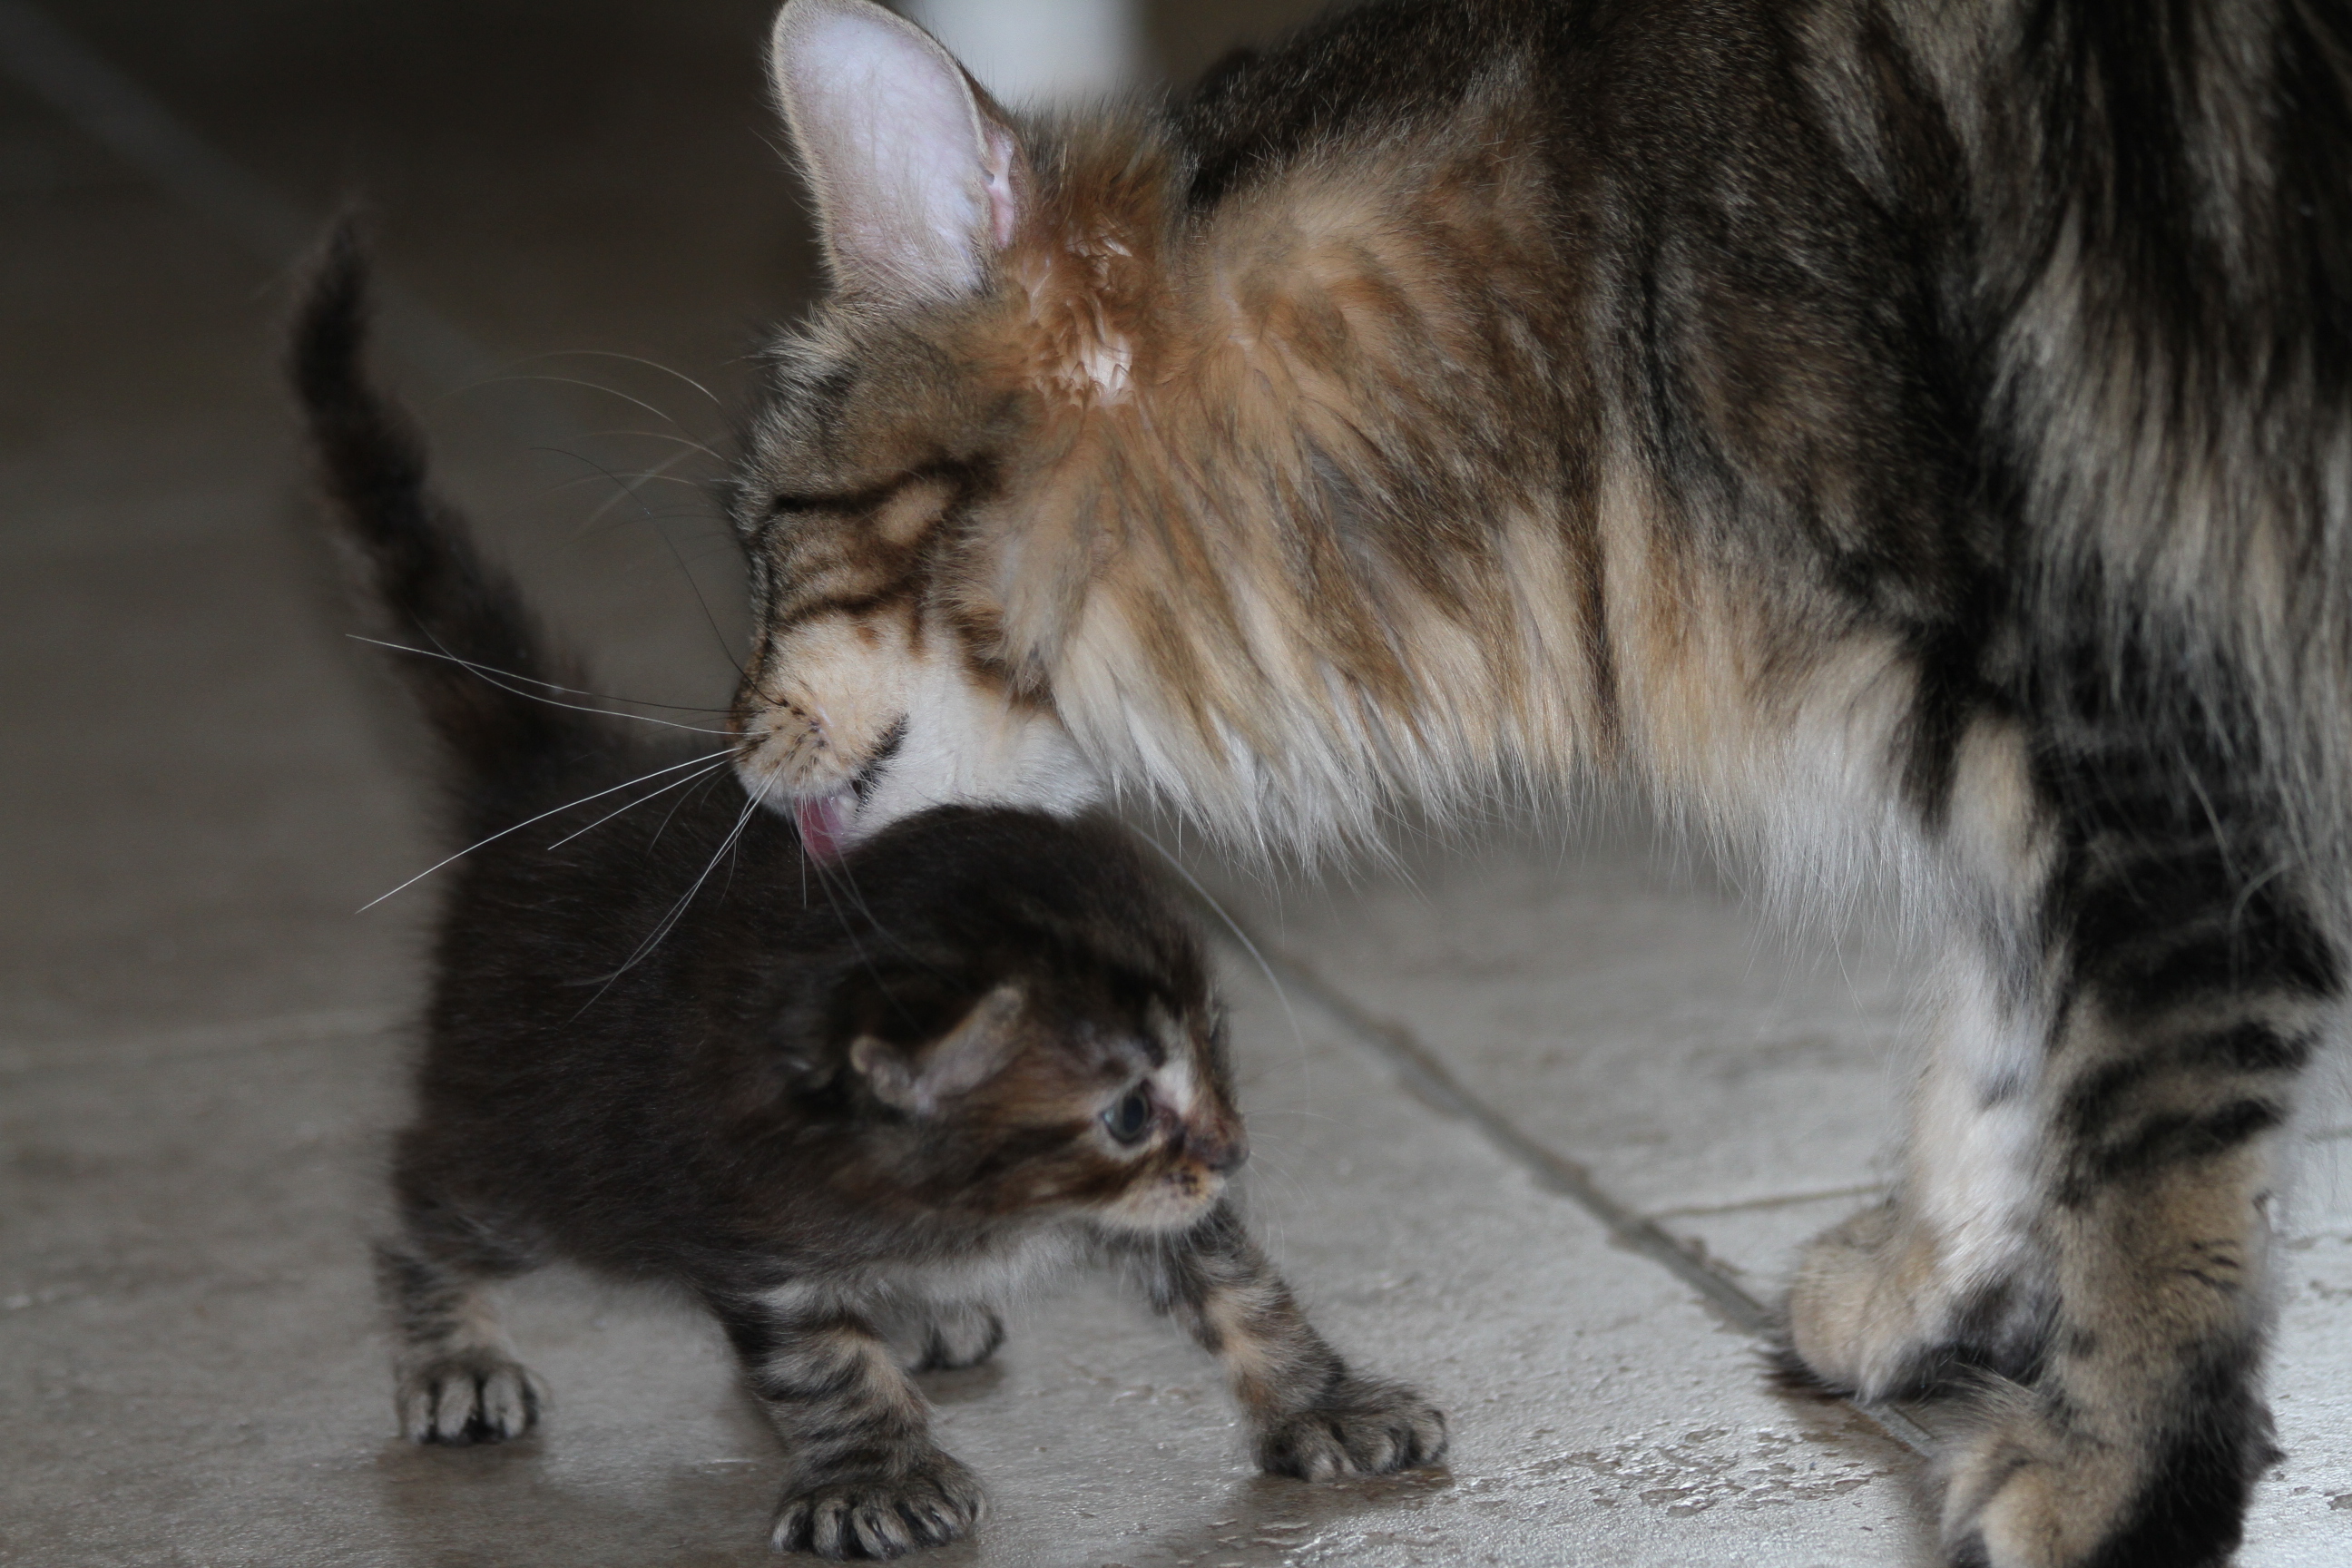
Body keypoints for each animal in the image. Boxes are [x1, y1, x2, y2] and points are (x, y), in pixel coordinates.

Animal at [287, 230, 1439, 1561]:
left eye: (1215, 1055)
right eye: (1125, 1112)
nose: (1237, 1148)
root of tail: (561, 770)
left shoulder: (1153, 1207)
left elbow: (1241, 1286)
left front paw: (1329, 1402)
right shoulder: (754, 1215)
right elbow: (821, 1361)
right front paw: (875, 1474)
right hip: (524, 1141)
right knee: (423, 1206)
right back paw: (454, 1357)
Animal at [724, 3, 2342, 1568]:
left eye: (761, 541)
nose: (732, 751)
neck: (1596, 305)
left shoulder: (2150, 720)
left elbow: (2148, 1158)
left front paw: (2118, 1475)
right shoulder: (2055, 780)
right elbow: (2001, 1043)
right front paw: (1935, 1281)